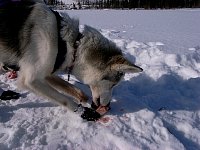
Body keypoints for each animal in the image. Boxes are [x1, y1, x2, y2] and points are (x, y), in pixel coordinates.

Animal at [0, 0, 143, 120]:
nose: (108, 106)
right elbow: (64, 99)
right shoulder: (31, 80)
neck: (69, 44)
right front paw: (83, 111)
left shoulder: (47, 73)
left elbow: (75, 89)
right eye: (113, 84)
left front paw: (83, 98)